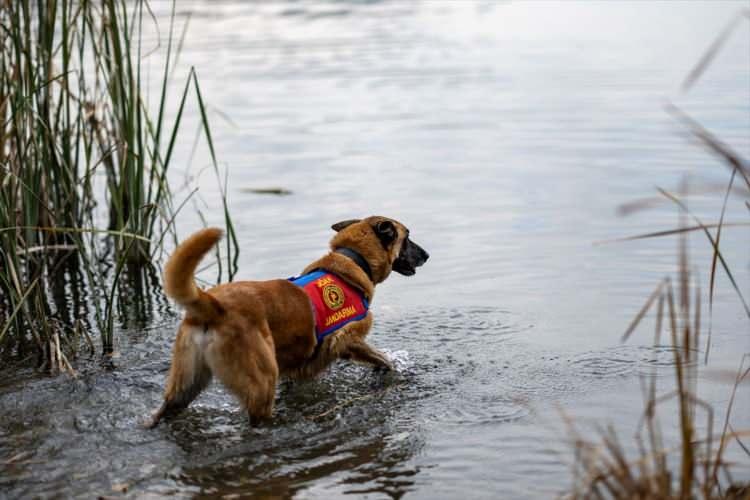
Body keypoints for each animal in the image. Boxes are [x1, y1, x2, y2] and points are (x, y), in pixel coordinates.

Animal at [148, 215, 428, 426]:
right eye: (407, 237)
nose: (427, 255)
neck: (353, 259)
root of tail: (212, 306)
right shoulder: (347, 339)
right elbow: (381, 357)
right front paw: (390, 367)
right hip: (261, 381)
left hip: (184, 385)